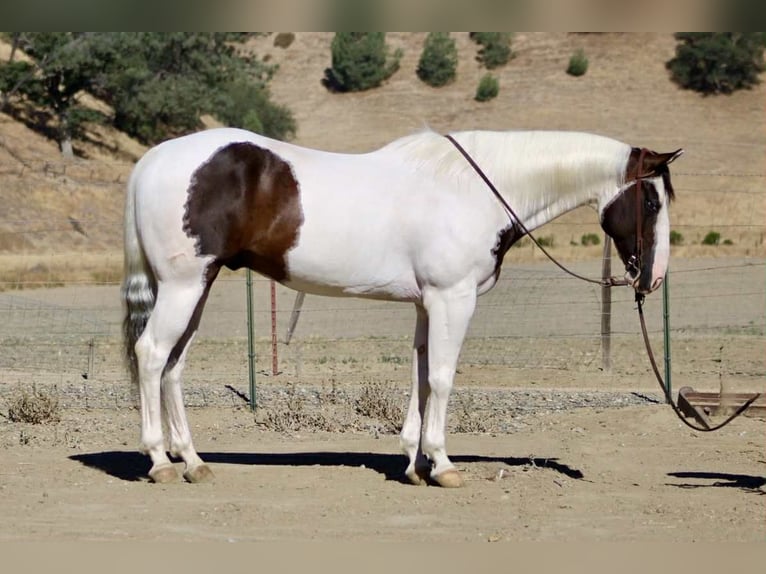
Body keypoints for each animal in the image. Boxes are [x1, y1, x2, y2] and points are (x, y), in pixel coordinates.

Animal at [121, 127, 682, 486]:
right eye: (652, 201)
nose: (653, 278)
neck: (472, 190)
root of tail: (150, 161)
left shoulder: (426, 303)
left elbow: (419, 374)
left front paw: (414, 465)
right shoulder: (453, 298)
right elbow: (442, 378)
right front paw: (443, 465)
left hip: (197, 287)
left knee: (173, 367)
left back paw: (193, 461)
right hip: (183, 286)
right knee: (151, 355)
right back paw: (160, 461)